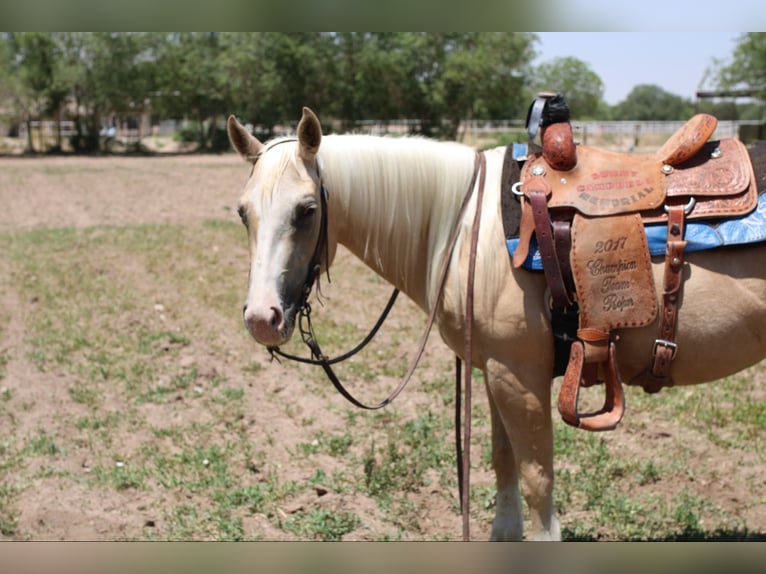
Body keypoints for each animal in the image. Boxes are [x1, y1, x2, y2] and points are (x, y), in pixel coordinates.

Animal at [226, 107, 766, 541]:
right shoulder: (496, 370)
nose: (261, 318)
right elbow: (503, 463)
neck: (465, 227)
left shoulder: (520, 375)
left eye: (307, 210)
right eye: (241, 212)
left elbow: (535, 479)